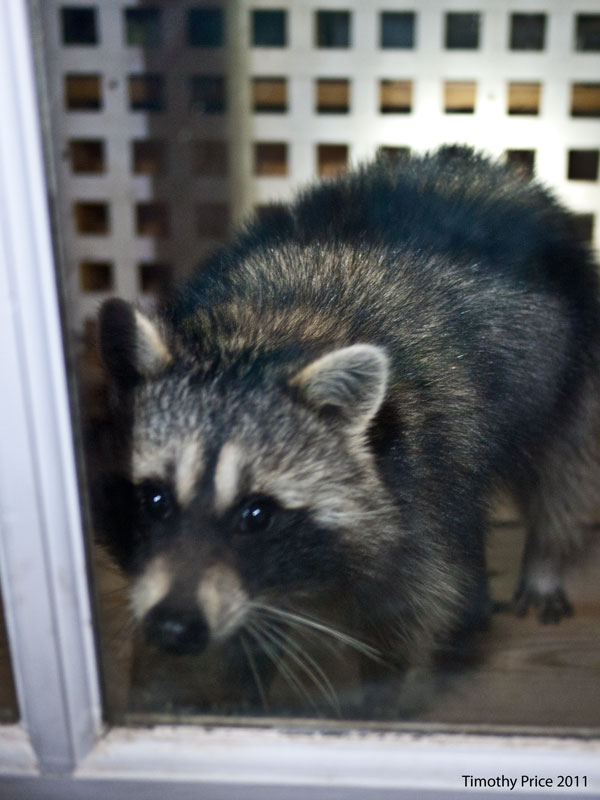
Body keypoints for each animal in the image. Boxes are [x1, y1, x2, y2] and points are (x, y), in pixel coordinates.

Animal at [96, 146, 600, 717]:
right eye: (153, 499)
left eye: (256, 514)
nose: (174, 628)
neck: (264, 333)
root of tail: (487, 165)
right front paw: (240, 687)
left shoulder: (425, 480)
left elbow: (418, 606)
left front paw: (376, 703)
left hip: (573, 363)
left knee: (562, 468)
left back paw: (546, 553)